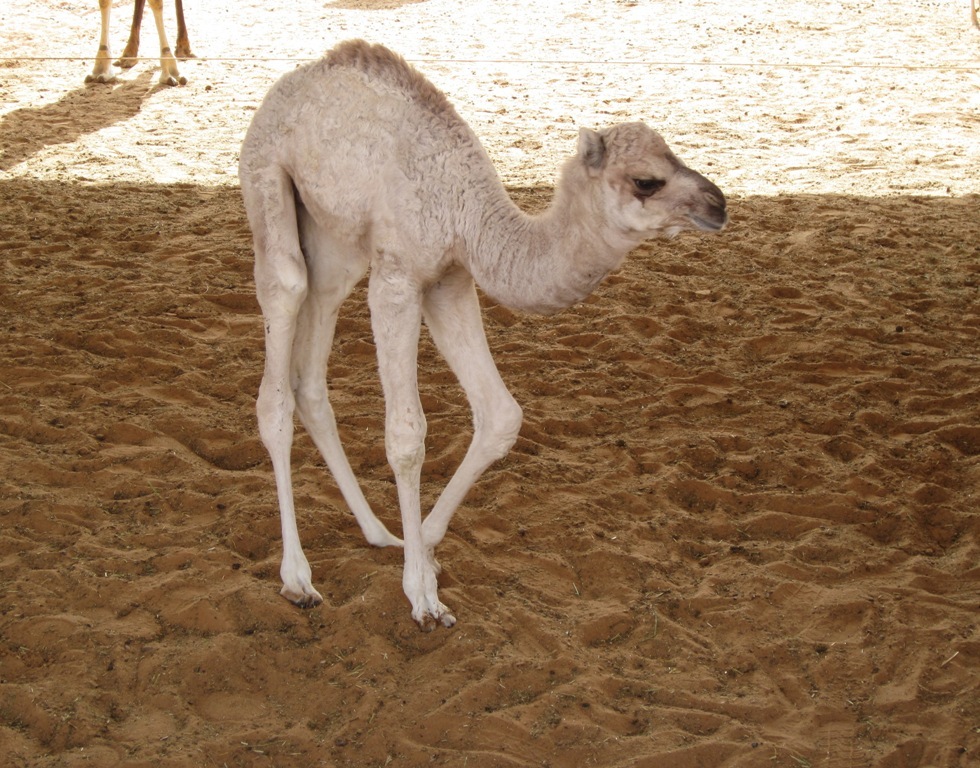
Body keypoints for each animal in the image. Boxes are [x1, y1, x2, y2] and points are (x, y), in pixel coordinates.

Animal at [238, 40, 728, 632]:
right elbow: (406, 436)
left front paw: (424, 547)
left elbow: (501, 416)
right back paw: (298, 580)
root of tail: (288, 84)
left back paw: (379, 533)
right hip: (268, 178)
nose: (719, 203)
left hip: (335, 240)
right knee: (280, 346)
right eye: (646, 181)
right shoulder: (399, 277)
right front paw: (423, 598)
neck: (465, 210)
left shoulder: (449, 280)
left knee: (311, 373)